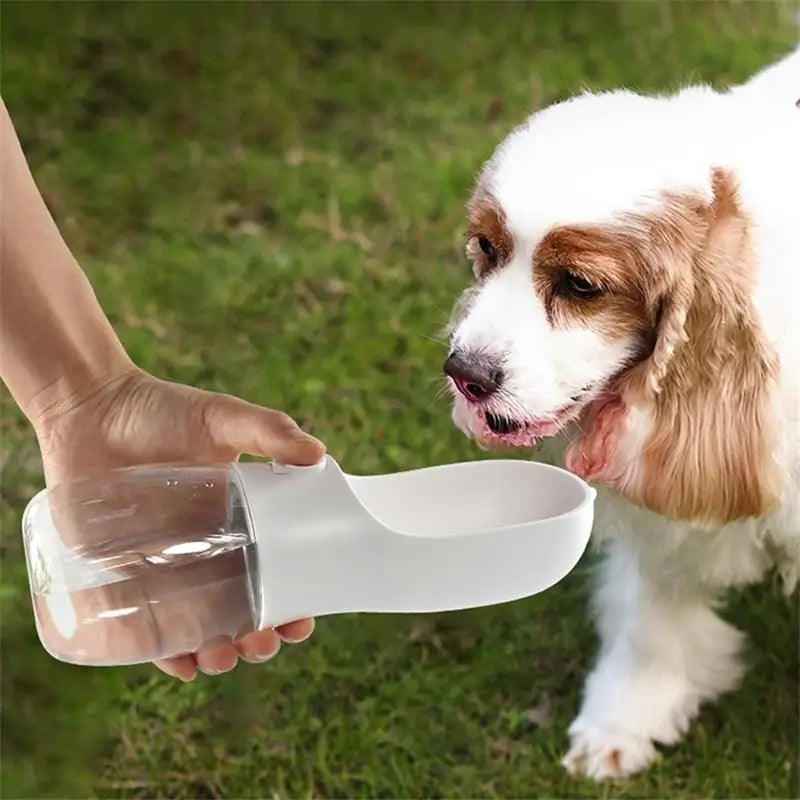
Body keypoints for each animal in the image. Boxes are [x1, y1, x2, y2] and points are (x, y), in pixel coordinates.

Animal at [444, 47, 800, 780]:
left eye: (581, 285)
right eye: (486, 249)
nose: (465, 374)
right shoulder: (666, 515)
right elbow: (651, 619)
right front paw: (624, 720)